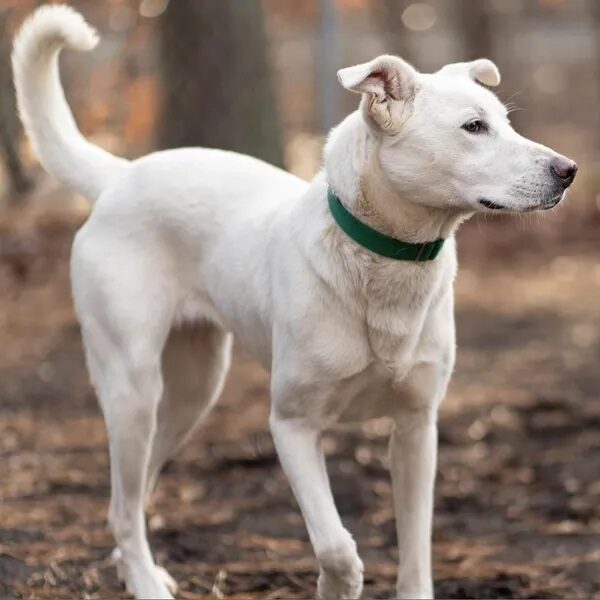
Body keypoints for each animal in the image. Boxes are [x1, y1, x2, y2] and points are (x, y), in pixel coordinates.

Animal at [12, 5, 576, 600]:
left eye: (506, 122)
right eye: (473, 127)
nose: (569, 170)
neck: (384, 261)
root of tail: (121, 176)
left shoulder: (417, 428)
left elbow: (416, 548)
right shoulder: (293, 427)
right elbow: (336, 548)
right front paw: (337, 586)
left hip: (192, 392)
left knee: (135, 488)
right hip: (132, 388)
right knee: (121, 502)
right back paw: (144, 581)